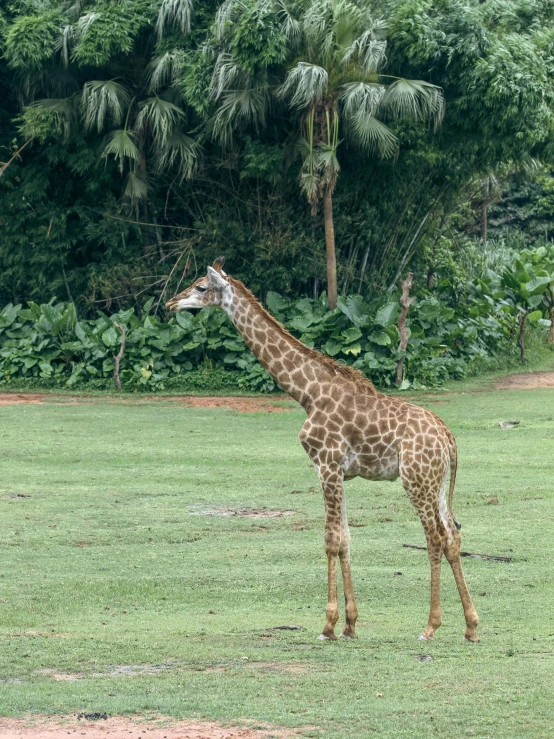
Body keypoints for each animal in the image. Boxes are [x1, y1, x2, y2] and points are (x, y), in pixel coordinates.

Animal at [165, 258, 478, 640]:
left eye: (200, 287)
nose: (171, 303)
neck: (307, 394)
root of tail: (448, 438)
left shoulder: (326, 464)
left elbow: (330, 539)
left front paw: (328, 625)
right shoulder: (339, 472)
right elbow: (345, 539)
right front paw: (350, 625)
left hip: (416, 480)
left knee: (434, 537)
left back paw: (430, 626)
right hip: (437, 483)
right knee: (453, 536)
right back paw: (471, 626)